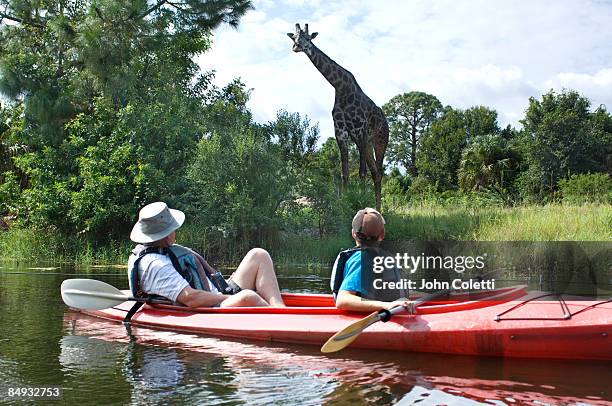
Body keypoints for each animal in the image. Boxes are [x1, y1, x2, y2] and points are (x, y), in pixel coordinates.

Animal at [286, 23, 388, 211]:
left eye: (307, 38)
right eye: (294, 37)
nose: (296, 47)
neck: (341, 88)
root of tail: (386, 122)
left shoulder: (359, 130)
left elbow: (361, 172)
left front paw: (360, 201)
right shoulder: (341, 131)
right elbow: (344, 173)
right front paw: (345, 202)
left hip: (379, 141)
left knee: (378, 172)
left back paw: (378, 208)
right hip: (368, 143)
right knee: (375, 171)